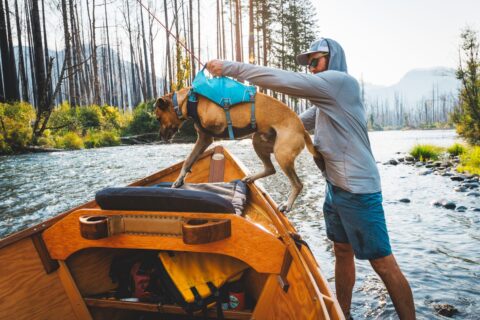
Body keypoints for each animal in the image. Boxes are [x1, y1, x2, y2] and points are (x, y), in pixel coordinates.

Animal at [156, 87, 320, 212]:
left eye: (158, 118)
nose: (161, 136)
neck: (190, 101)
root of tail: (303, 130)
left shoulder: (207, 136)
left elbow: (190, 158)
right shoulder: (203, 137)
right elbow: (189, 161)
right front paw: (179, 179)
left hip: (281, 154)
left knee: (297, 184)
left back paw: (287, 204)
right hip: (258, 140)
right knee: (270, 168)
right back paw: (251, 178)